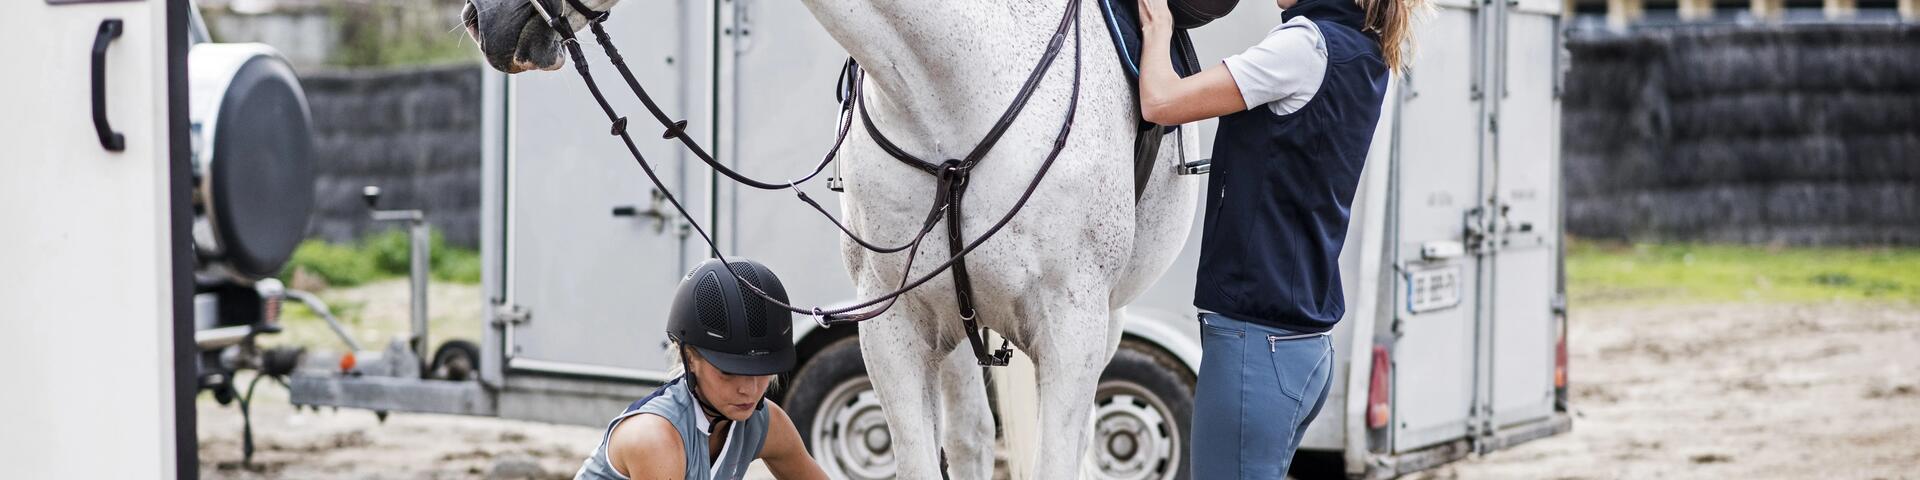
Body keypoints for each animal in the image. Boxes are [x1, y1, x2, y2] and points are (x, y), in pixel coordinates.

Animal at [460, 0, 1198, 474]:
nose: (479, 18)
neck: (959, 82)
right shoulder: (896, 326)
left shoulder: (1070, 330)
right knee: (970, 436)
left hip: (1103, 321)